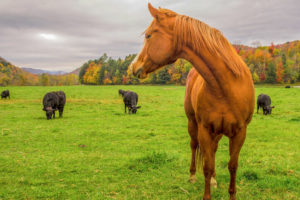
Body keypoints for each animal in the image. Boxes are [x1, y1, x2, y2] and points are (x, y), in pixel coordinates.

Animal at [130, 3, 254, 200]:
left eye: (149, 35)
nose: (133, 67)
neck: (226, 86)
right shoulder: (205, 129)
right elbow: (207, 165)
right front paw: (206, 193)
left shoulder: (240, 132)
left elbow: (232, 166)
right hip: (193, 123)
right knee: (195, 146)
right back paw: (193, 176)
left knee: (213, 150)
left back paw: (214, 180)